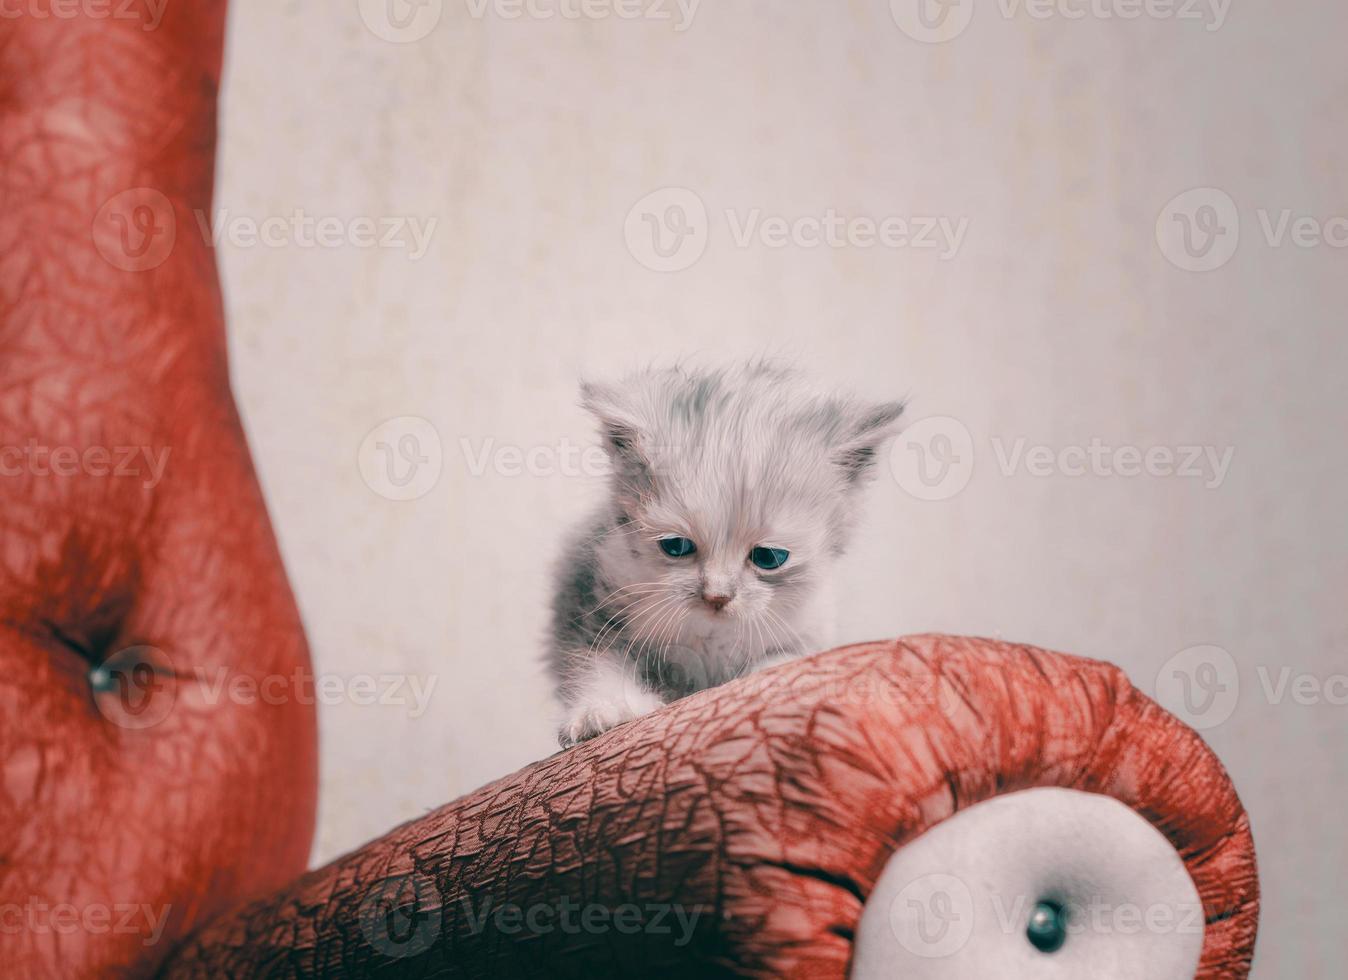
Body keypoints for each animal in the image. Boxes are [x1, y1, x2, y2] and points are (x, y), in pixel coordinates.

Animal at [541, 363, 900, 749]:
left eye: (769, 557)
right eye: (677, 547)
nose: (717, 596)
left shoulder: (809, 626)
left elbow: (785, 659)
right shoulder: (588, 599)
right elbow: (595, 662)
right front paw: (605, 708)